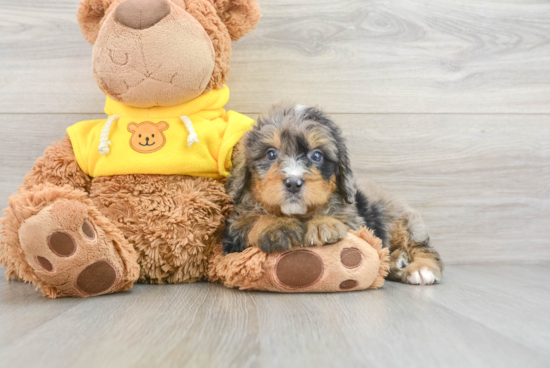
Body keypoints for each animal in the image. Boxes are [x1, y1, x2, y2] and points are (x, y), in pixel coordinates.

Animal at [224, 103, 444, 284]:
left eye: (317, 156)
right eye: (271, 154)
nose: (293, 183)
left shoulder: (356, 220)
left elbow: (338, 218)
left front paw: (324, 224)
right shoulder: (233, 233)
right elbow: (252, 220)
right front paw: (277, 226)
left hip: (401, 221)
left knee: (421, 246)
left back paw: (421, 269)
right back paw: (396, 263)